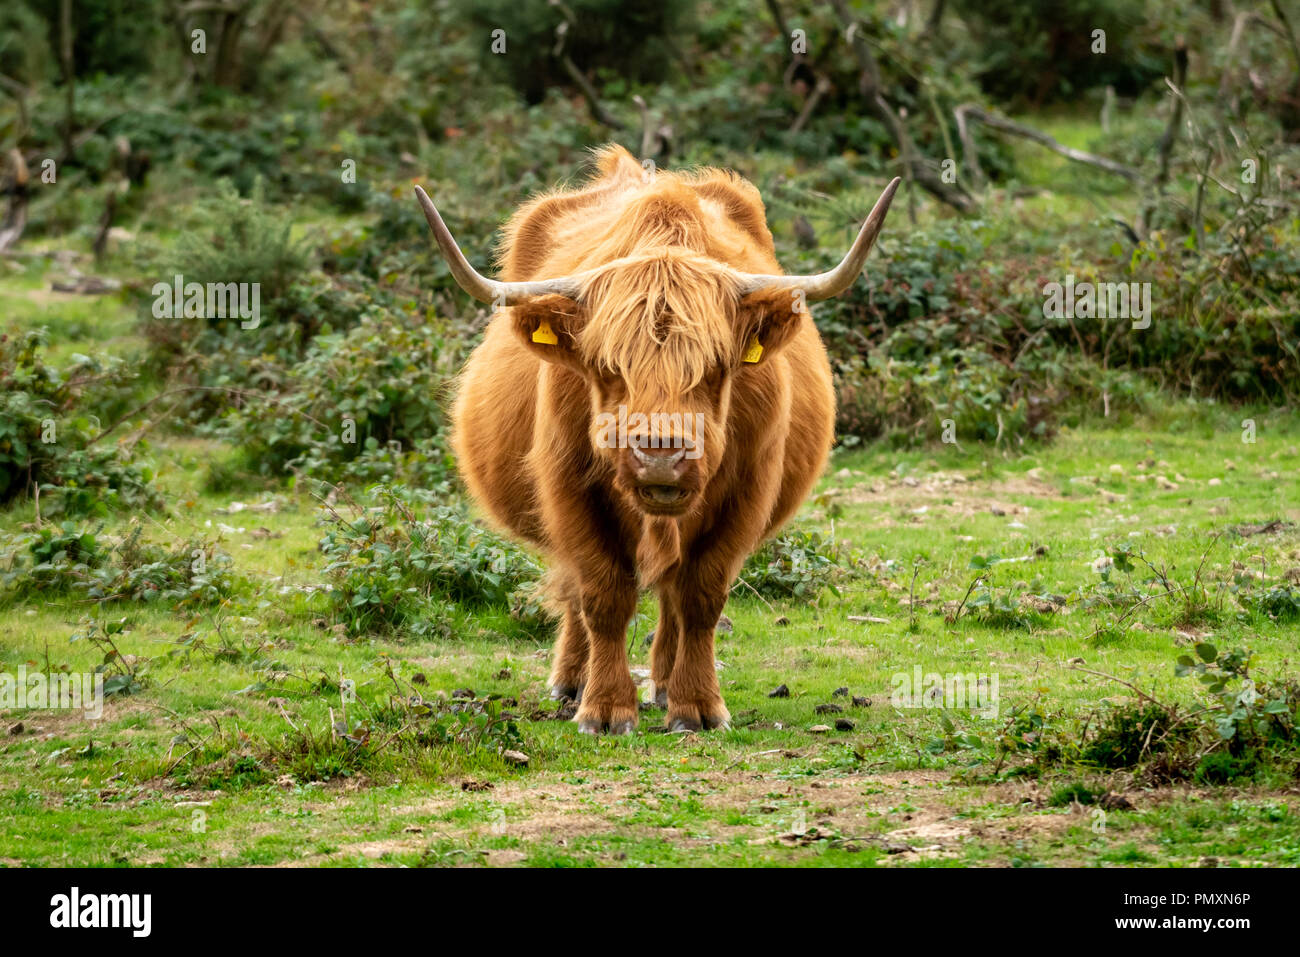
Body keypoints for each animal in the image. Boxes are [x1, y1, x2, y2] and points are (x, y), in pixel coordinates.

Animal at [416, 145, 898, 734]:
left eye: (716, 367)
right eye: (606, 368)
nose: (662, 457)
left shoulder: (745, 493)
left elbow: (700, 597)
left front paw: (697, 705)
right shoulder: (569, 490)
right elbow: (603, 595)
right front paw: (604, 708)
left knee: (672, 595)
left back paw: (665, 685)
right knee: (576, 593)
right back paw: (570, 683)